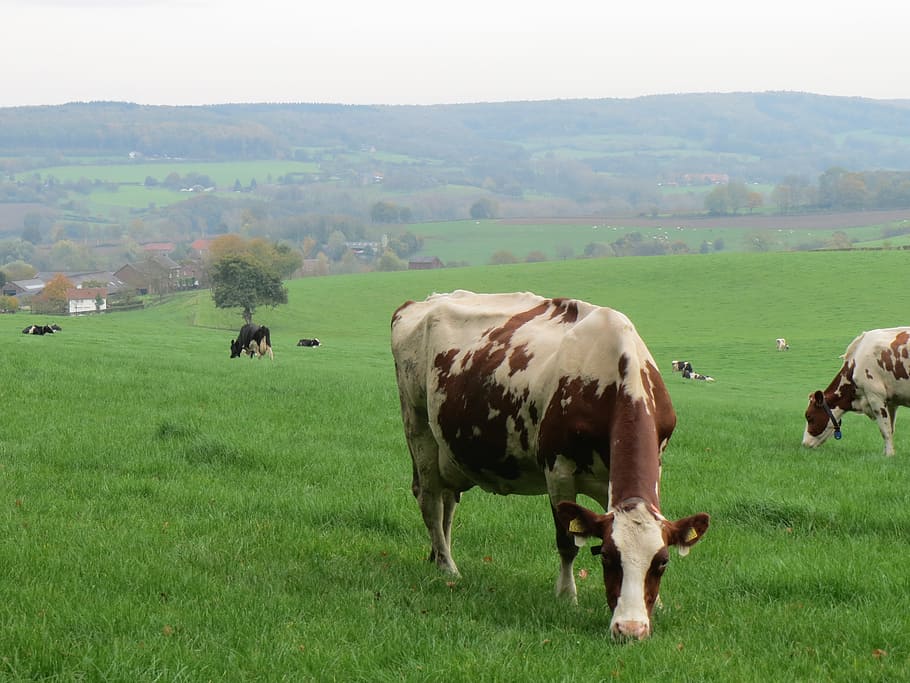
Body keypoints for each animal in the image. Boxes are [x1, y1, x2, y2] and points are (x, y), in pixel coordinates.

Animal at [391, 290, 709, 640]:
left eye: (662, 562)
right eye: (607, 558)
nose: (630, 629)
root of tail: (420, 302)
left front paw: (660, 604)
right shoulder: (558, 470)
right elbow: (567, 542)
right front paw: (566, 596)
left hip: (450, 452)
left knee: (447, 503)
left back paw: (438, 557)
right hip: (419, 427)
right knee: (431, 502)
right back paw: (449, 567)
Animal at [803, 327, 910, 456]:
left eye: (809, 416)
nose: (804, 443)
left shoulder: (875, 396)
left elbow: (885, 430)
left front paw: (889, 455)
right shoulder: (891, 402)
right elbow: (891, 428)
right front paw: (886, 454)